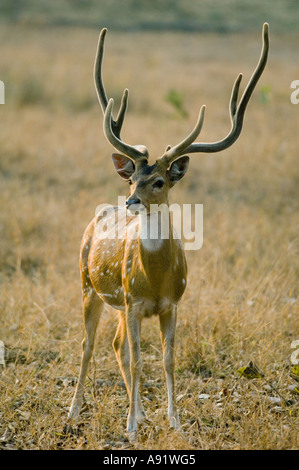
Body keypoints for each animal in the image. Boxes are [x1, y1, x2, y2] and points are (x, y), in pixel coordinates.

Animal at [69, 23, 270, 440]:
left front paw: (172, 421)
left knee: (115, 344)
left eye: (159, 181)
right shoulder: (133, 301)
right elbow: (140, 360)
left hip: (115, 301)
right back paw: (76, 409)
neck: (155, 278)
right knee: (88, 344)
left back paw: (142, 412)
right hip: (87, 284)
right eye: (134, 178)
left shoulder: (172, 304)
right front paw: (130, 426)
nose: (131, 200)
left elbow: (167, 360)